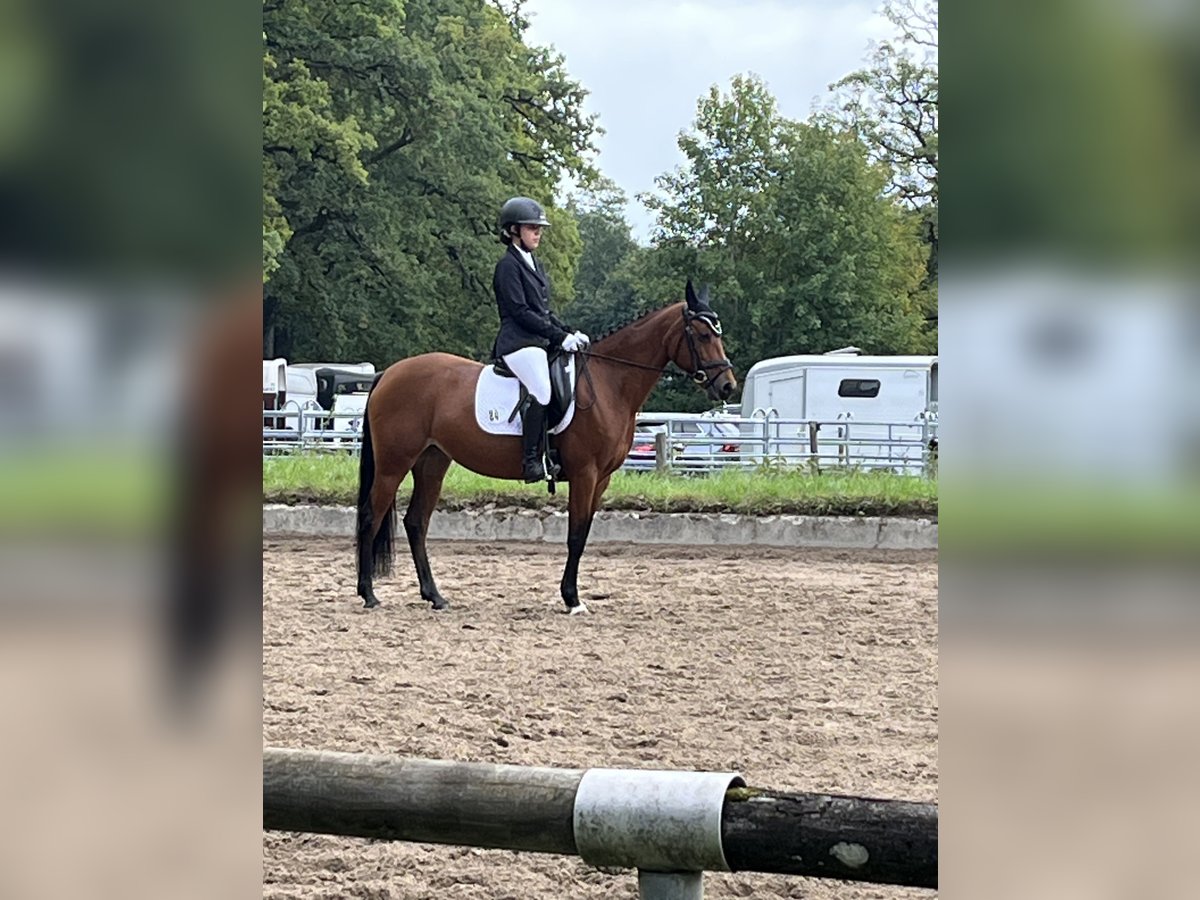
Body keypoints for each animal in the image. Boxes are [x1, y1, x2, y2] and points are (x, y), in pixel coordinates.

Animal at [354, 280, 737, 613]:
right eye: (703, 335)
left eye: (718, 333)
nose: (728, 386)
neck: (608, 384)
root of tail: (388, 374)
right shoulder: (585, 474)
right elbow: (575, 535)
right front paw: (572, 599)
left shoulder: (602, 479)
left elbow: (584, 533)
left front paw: (573, 596)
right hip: (393, 464)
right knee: (371, 516)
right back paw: (369, 594)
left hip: (432, 462)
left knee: (416, 523)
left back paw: (435, 596)